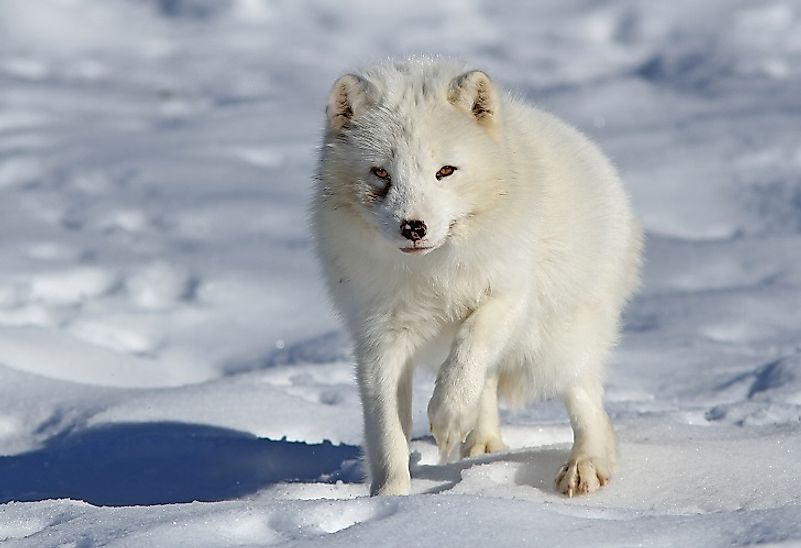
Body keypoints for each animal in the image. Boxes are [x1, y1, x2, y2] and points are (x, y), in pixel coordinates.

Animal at [312, 55, 644, 496]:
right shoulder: (379, 336)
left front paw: (447, 415)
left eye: (445, 171)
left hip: (560, 342)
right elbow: (387, 430)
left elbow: (470, 346)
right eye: (380, 174)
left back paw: (585, 465)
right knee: (488, 387)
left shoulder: (509, 294)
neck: (433, 275)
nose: (413, 227)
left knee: (589, 405)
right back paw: (482, 443)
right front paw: (389, 497)